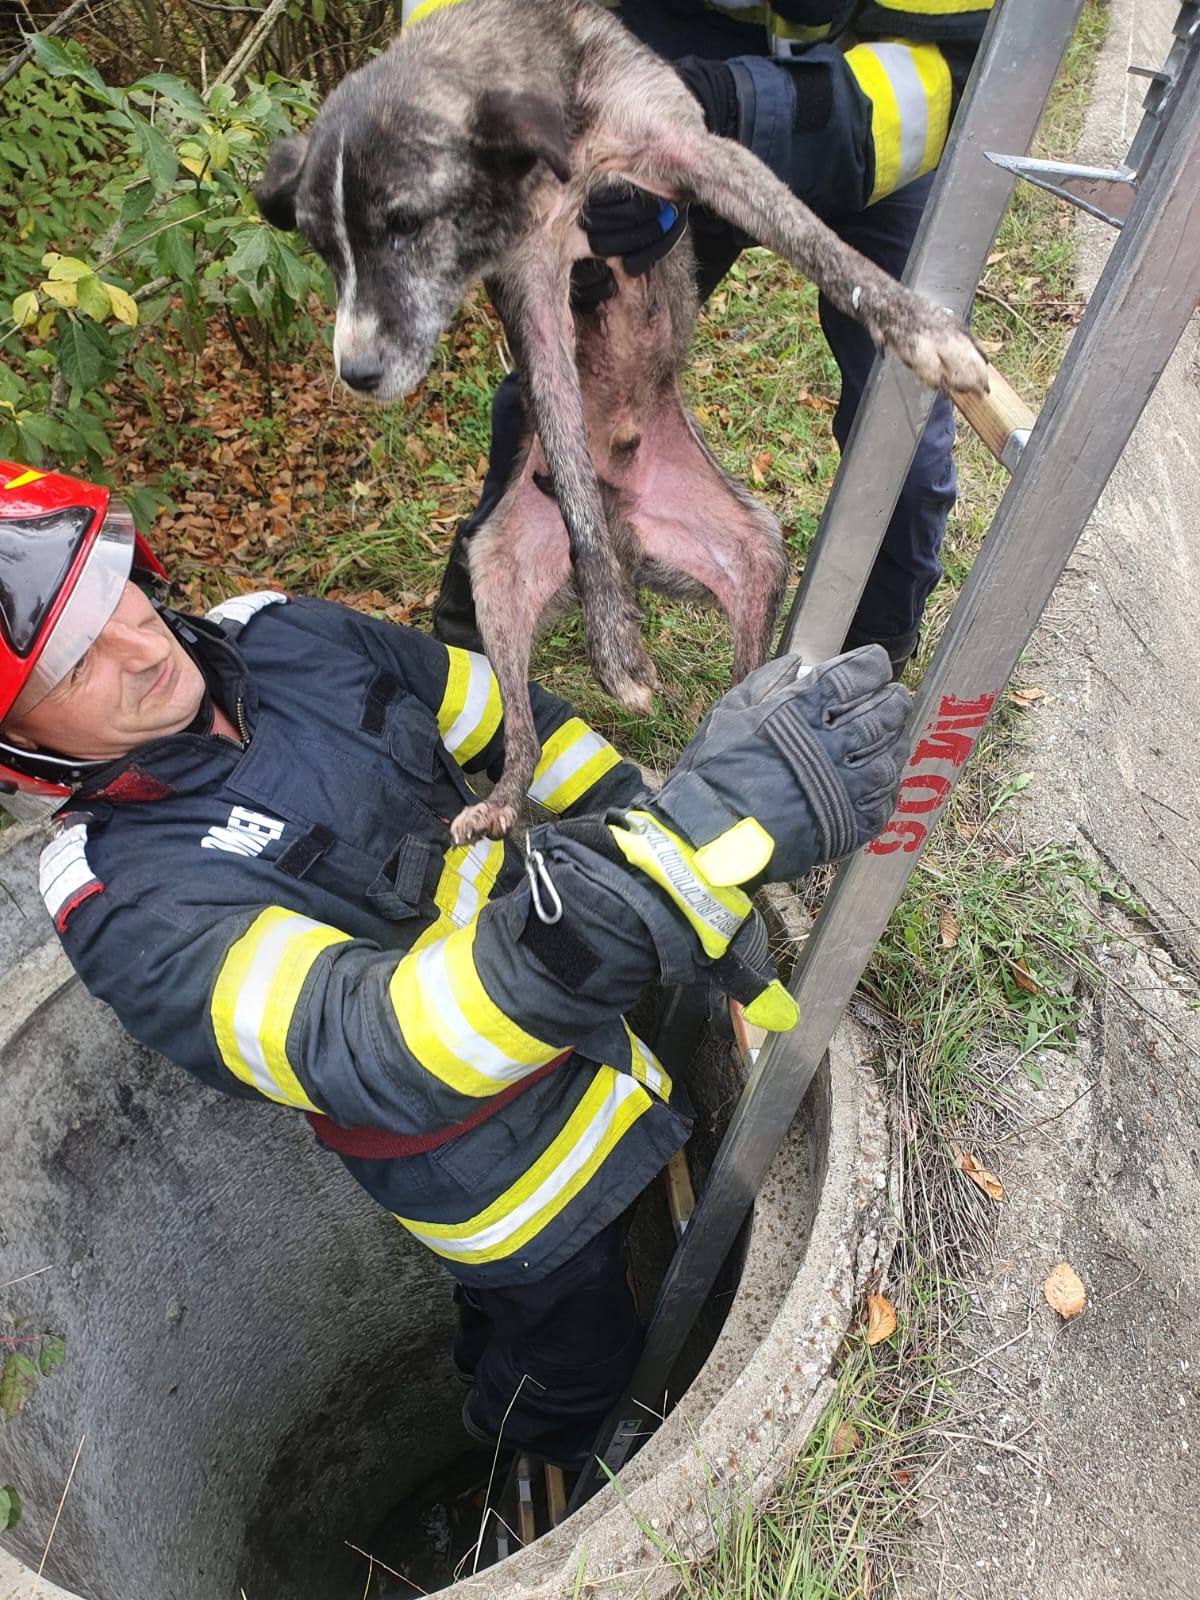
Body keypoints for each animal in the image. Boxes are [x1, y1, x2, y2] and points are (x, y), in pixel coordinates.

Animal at [256, 0, 985, 851]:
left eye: (405, 224)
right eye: (322, 248)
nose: (357, 372)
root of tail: (635, 526)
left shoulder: (696, 152)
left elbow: (818, 241)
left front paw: (923, 330)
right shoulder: (533, 283)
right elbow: (572, 476)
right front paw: (614, 643)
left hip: (757, 555)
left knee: (744, 674)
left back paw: (755, 736)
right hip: (496, 579)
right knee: (522, 728)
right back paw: (506, 798)